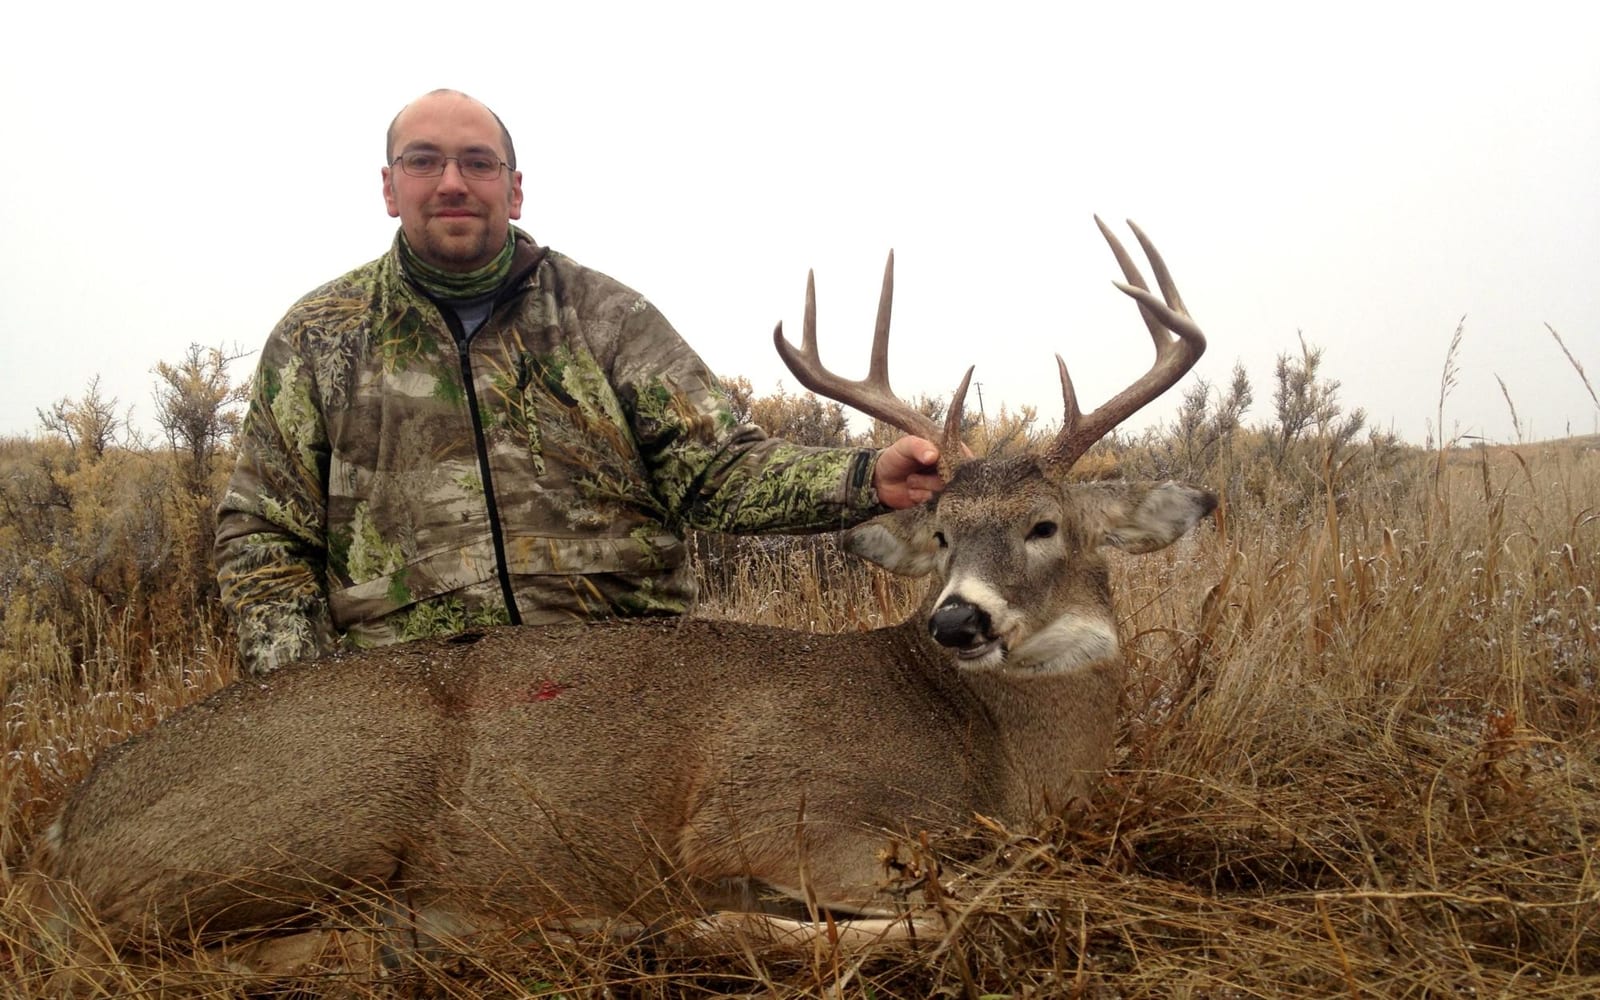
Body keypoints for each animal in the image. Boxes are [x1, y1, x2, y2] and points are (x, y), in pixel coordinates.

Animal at [27, 218, 1215, 975]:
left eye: (1044, 525)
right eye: (939, 534)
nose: (957, 619)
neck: (991, 749)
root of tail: (65, 832)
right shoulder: (774, 815)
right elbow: (975, 899)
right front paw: (707, 930)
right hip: (327, 810)